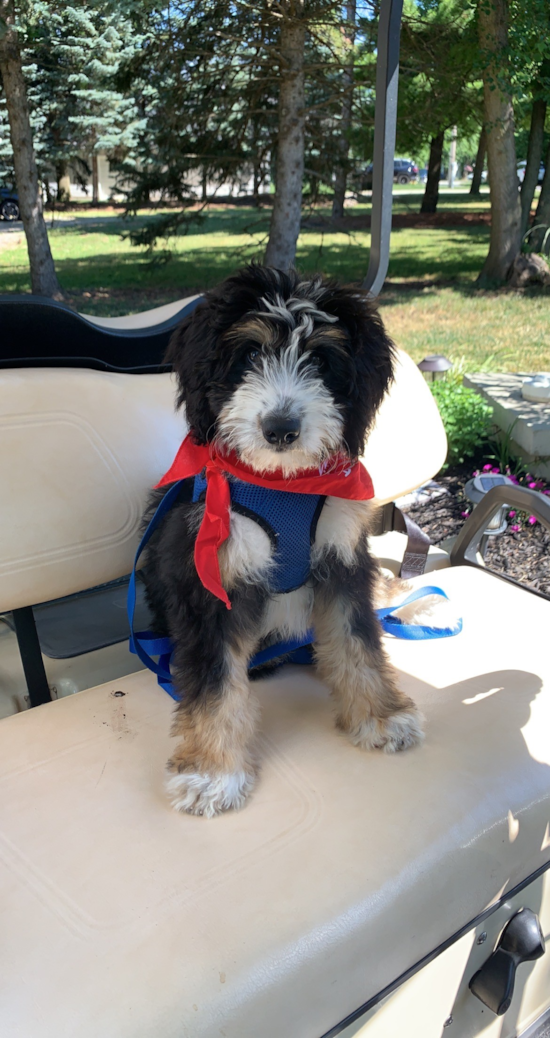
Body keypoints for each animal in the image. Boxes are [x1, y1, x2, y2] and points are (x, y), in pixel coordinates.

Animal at [142, 263, 423, 813]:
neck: (284, 483)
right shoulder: (212, 577)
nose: (280, 429)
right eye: (250, 355)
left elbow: (358, 641)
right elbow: (215, 680)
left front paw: (380, 715)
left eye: (320, 359)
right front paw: (213, 771)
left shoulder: (341, 557)